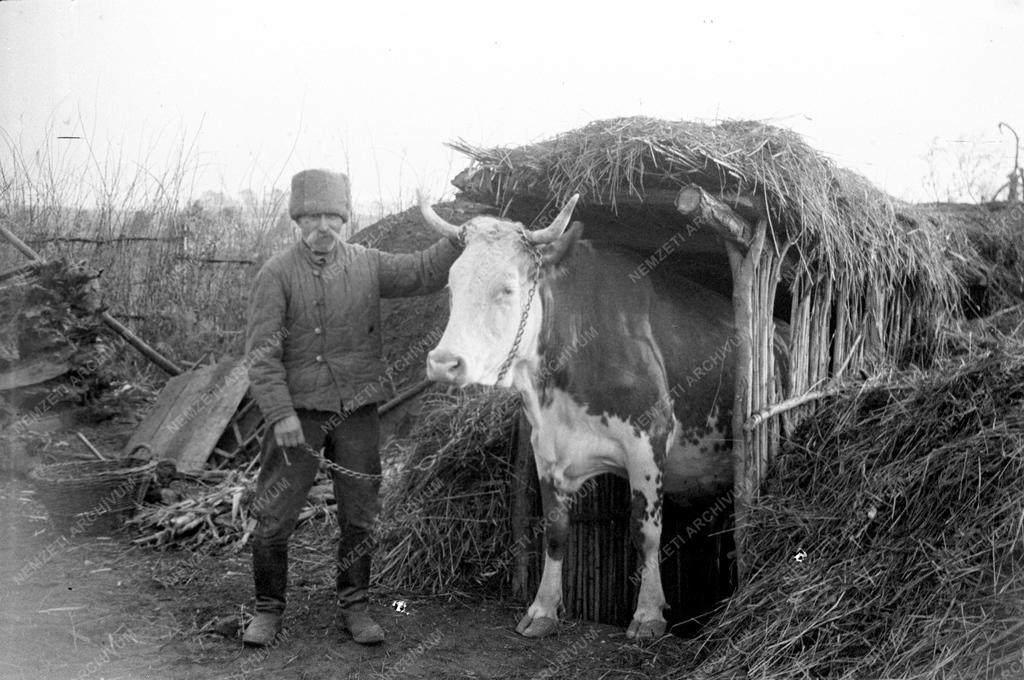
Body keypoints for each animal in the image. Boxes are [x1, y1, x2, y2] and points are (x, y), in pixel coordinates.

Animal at [417, 193, 761, 639]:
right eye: (451, 285)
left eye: (507, 288)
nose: (444, 363)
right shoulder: (547, 449)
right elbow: (556, 531)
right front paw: (543, 608)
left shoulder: (649, 439)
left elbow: (645, 532)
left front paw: (648, 615)